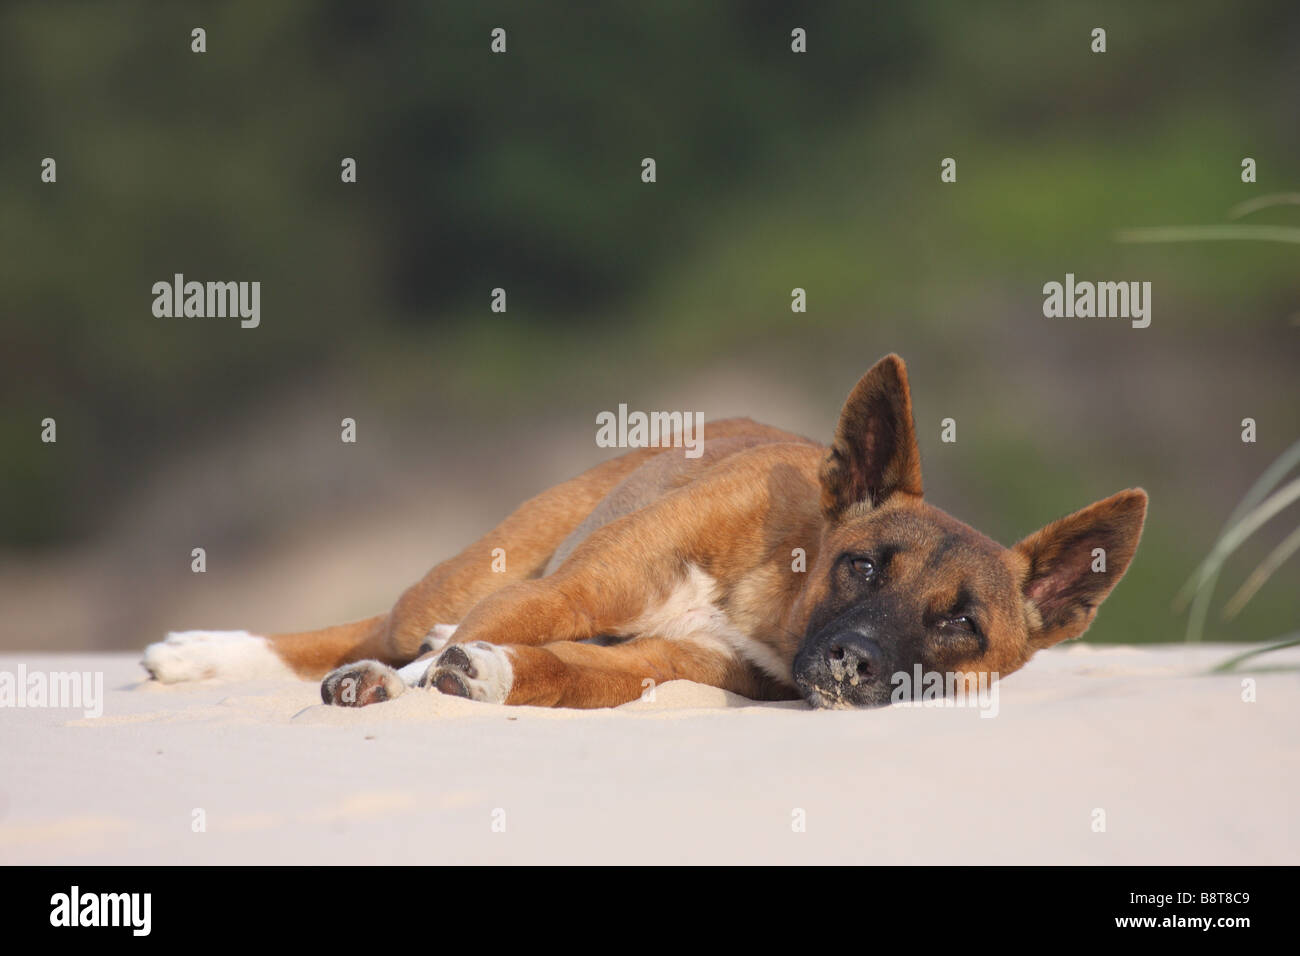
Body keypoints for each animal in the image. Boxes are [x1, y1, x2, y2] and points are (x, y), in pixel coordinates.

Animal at [137, 356, 1144, 707]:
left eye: (961, 623)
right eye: (861, 567)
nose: (853, 664)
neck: (772, 594)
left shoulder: (661, 668)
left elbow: (558, 670)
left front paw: (487, 678)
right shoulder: (565, 591)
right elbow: (457, 643)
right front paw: (404, 679)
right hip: (477, 569)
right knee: (370, 629)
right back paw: (201, 653)